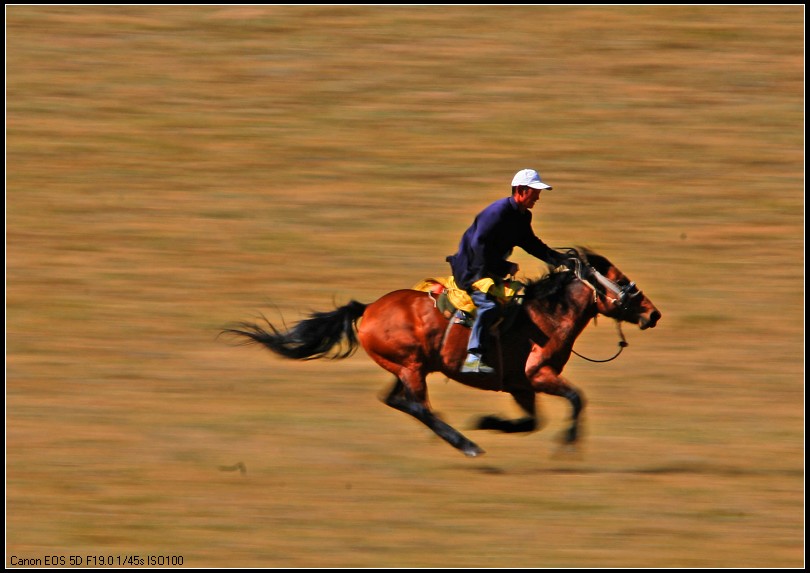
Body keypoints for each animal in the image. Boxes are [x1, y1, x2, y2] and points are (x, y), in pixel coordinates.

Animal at [224, 246, 660, 456]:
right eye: (621, 280)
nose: (653, 313)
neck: (547, 315)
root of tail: (367, 309)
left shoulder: (521, 385)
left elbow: (531, 422)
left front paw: (489, 421)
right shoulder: (539, 375)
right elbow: (576, 398)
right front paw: (568, 443)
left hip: (407, 367)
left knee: (396, 400)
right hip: (411, 366)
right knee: (417, 405)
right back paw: (466, 445)